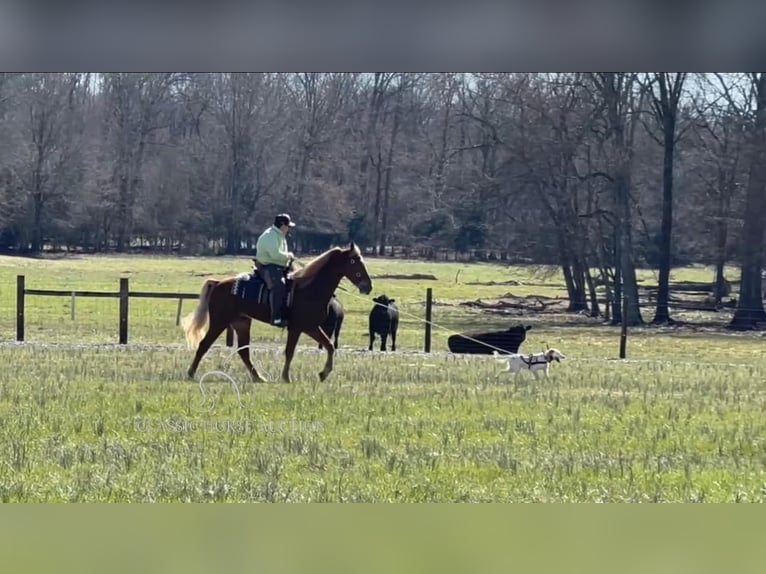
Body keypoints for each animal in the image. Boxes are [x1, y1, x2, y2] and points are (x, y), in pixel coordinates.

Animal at [181, 242, 372, 382]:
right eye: (354, 261)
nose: (368, 286)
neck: (309, 289)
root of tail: (218, 283)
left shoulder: (311, 327)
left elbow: (330, 346)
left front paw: (323, 374)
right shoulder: (296, 328)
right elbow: (289, 352)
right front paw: (286, 377)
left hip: (241, 322)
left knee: (243, 351)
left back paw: (258, 377)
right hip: (219, 321)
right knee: (204, 344)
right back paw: (190, 373)